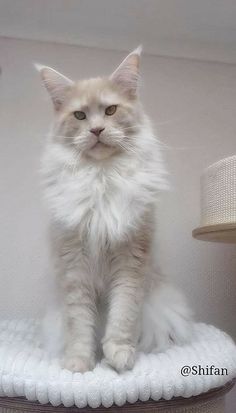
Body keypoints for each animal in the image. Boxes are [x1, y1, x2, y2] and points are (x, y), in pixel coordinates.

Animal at [36, 46, 192, 372]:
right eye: (80, 115)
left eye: (110, 111)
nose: (96, 129)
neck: (101, 177)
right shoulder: (74, 265)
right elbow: (79, 322)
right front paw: (79, 363)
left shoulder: (131, 258)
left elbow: (123, 314)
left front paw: (119, 356)